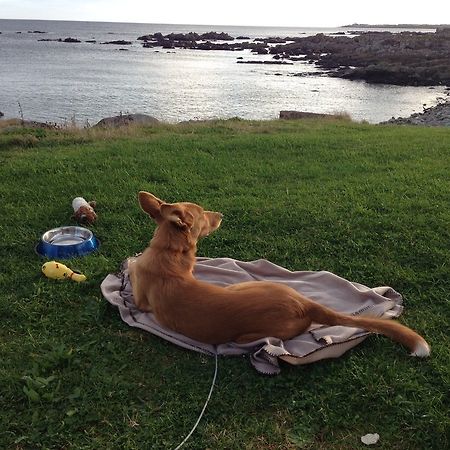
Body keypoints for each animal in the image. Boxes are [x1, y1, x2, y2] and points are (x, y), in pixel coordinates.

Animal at [128, 192, 430, 356]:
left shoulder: (141, 299)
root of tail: (305, 304)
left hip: (242, 308)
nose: (222, 214)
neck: (169, 252)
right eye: (203, 214)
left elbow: (131, 268)